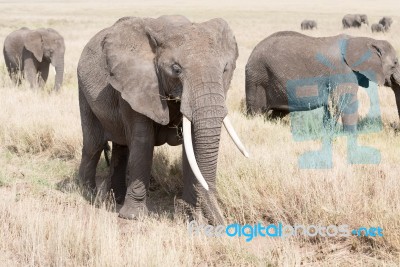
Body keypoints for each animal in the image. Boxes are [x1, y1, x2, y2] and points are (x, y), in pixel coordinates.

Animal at [76, 15, 248, 225]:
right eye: (176, 69)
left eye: (225, 69)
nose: (223, 225)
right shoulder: (135, 86)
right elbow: (143, 142)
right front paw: (133, 217)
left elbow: (192, 147)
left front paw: (192, 216)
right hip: (83, 89)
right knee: (94, 144)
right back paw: (87, 194)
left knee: (121, 148)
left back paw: (117, 198)